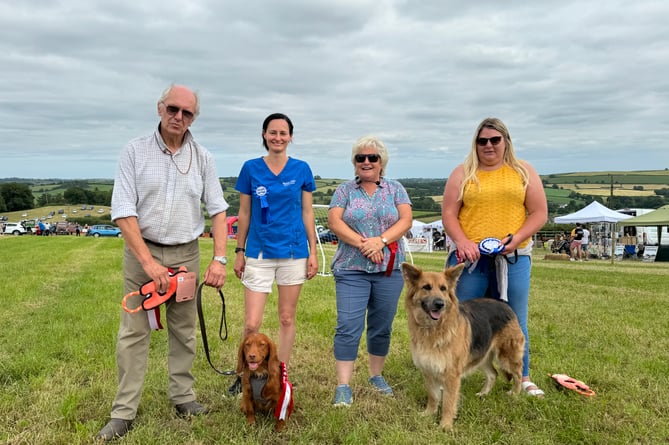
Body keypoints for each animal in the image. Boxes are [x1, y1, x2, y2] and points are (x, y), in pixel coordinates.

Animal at [400, 262, 524, 428]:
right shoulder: (429, 370)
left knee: (518, 374)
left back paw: (515, 394)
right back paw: (483, 393)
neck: (433, 329)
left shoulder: (452, 375)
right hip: (482, 357)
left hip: (506, 356)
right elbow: (433, 396)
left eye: (443, 289)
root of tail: (505, 305)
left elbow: (448, 402)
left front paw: (445, 426)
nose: (440, 304)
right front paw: (429, 414)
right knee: (493, 374)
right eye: (426, 287)